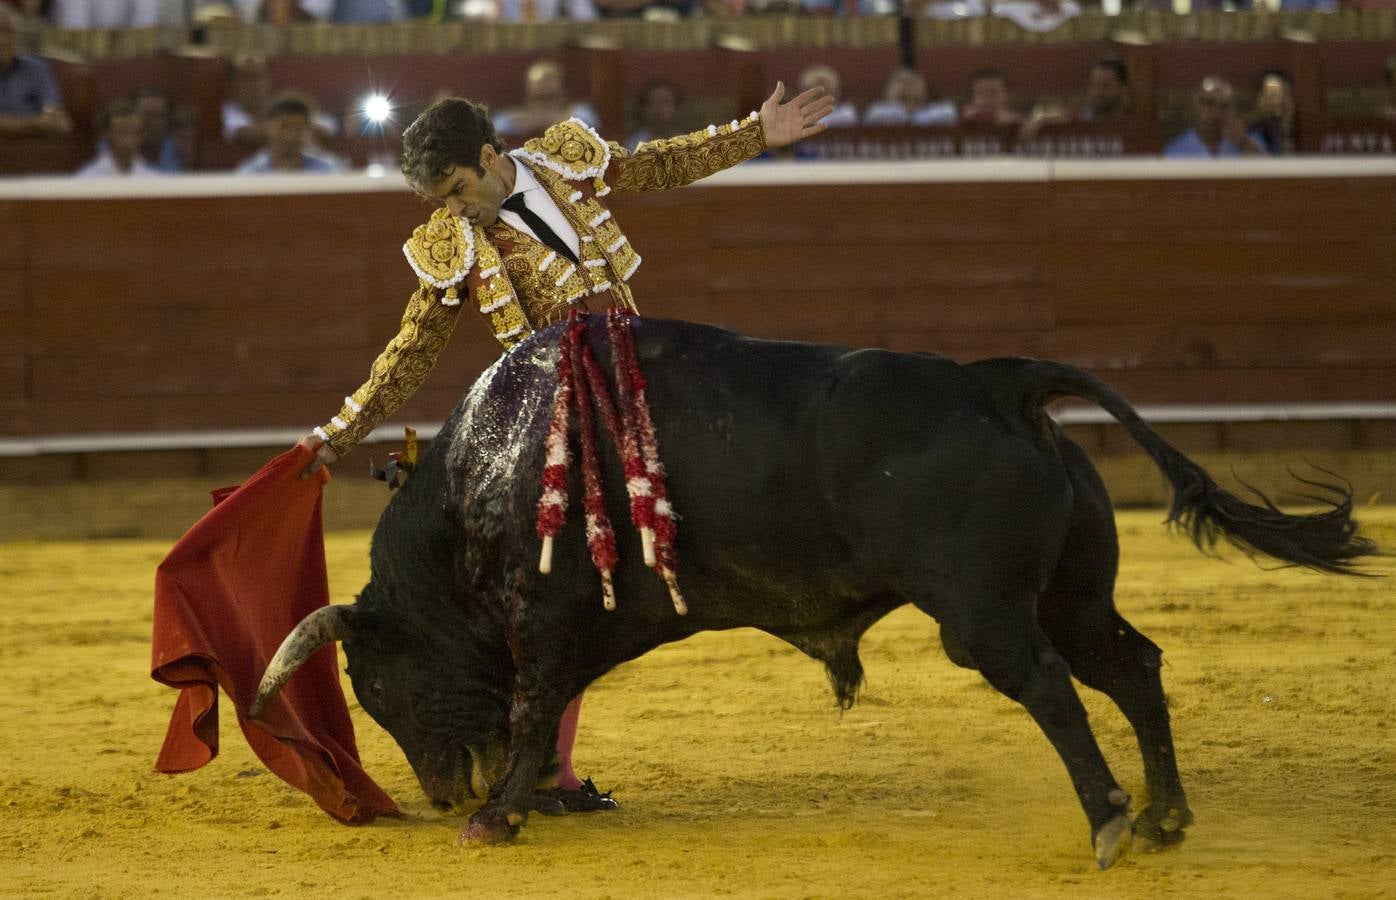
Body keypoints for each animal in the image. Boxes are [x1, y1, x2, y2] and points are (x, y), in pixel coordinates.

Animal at [245, 318, 1368, 870]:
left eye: (374, 685)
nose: (443, 796)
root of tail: (995, 382)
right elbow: (542, 710)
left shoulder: (548, 617)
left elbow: (529, 712)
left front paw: (499, 820)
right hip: (1072, 595)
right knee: (1131, 666)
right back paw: (1169, 815)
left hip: (984, 614)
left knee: (1052, 689)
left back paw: (1110, 822)